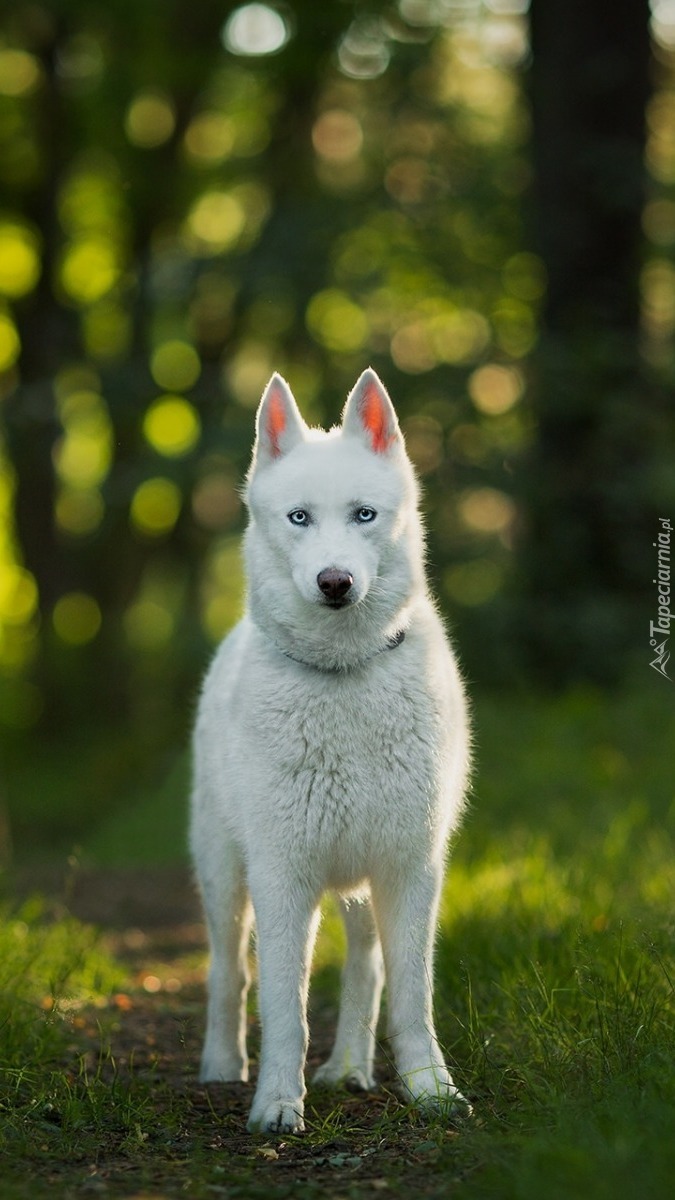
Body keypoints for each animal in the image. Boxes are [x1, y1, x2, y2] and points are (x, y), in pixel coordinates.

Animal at [189, 367, 468, 1132]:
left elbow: (410, 996)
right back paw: (222, 1065)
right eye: (299, 519)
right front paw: (277, 1105)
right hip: (225, 879)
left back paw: (348, 1068)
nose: (335, 582)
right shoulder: (282, 878)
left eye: (364, 515)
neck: (345, 676)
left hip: (360, 887)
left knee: (366, 970)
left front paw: (430, 1089)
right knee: (229, 972)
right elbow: (283, 1006)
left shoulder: (409, 870)